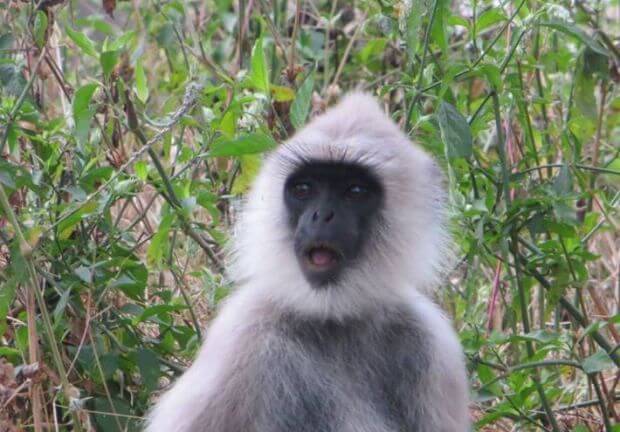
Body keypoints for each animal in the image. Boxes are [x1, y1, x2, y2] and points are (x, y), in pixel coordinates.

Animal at [147, 93, 470, 432]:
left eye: (355, 191)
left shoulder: (434, 344)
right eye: (304, 189)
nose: (321, 215)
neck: (334, 317)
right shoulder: (241, 331)